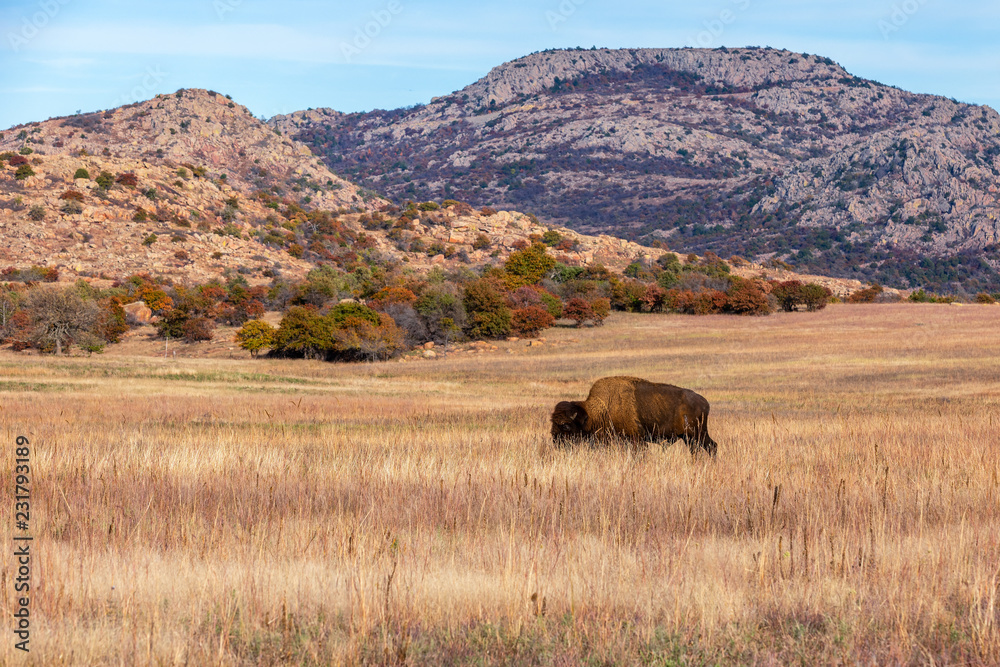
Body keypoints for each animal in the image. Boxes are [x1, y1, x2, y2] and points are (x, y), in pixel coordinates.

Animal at [551, 376, 717, 455]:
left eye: (565, 425)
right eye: (552, 422)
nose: (555, 441)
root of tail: (704, 402)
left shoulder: (636, 440)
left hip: (697, 434)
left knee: (712, 446)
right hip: (689, 438)